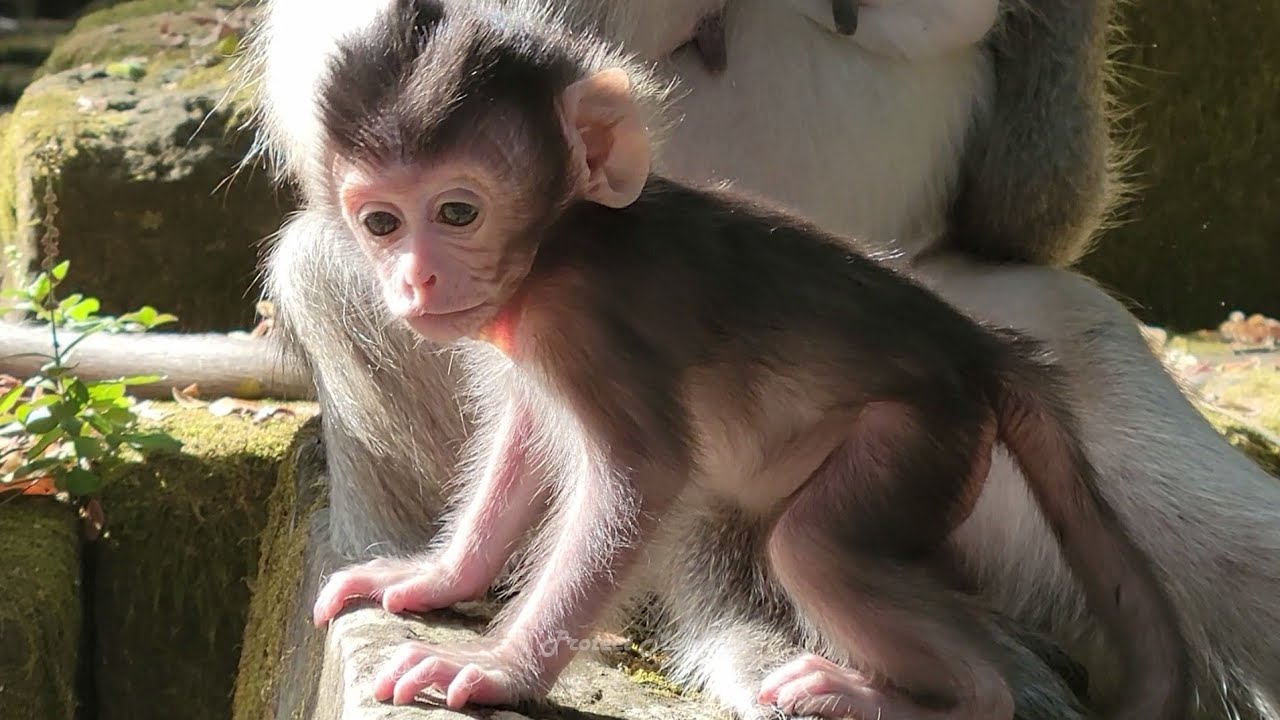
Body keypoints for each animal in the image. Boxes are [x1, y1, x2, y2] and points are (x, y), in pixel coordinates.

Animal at [303, 4, 1190, 718]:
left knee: (813, 549)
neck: (561, 241)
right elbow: (523, 446)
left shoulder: (583, 322)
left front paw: (500, 670)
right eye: (381, 222)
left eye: (458, 212)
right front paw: (438, 578)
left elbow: (643, 476)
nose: (414, 279)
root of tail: (977, 345)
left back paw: (940, 698)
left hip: (921, 436)